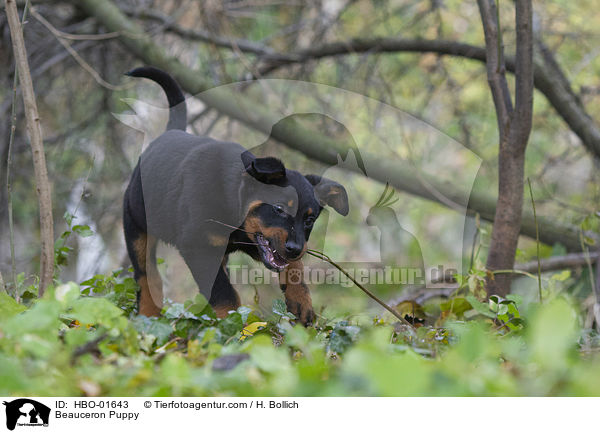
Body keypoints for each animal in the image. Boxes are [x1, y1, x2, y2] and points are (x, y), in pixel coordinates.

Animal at [122, 66, 346, 324]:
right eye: (278, 209)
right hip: (136, 225)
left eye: (310, 220)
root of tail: (170, 133)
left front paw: (300, 300)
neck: (233, 199)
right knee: (146, 275)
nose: (295, 248)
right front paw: (232, 323)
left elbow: (293, 265)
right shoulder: (197, 245)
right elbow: (224, 292)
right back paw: (148, 313)